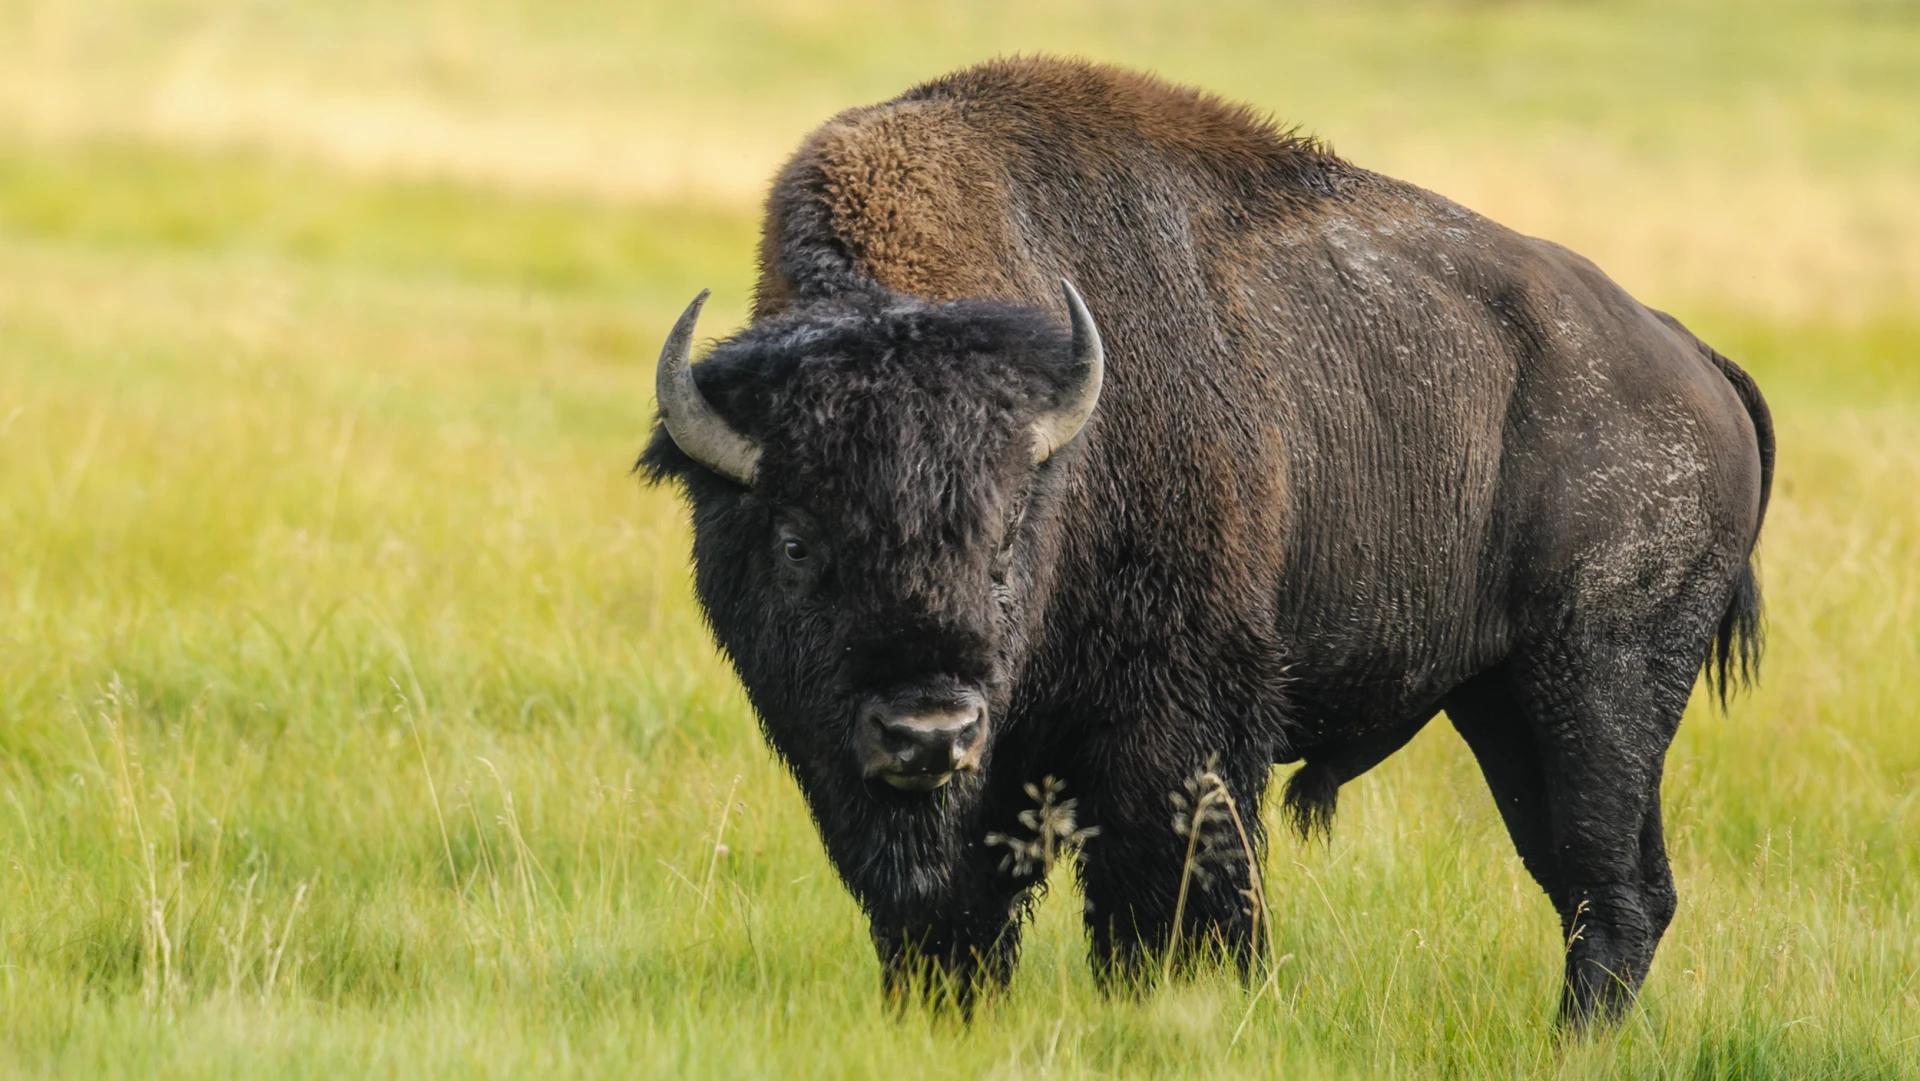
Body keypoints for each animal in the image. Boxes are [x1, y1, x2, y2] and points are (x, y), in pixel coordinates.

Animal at [641, 57, 1766, 1021]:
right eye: (795, 543)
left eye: (1006, 543)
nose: (928, 731)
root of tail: (1692, 356)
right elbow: (954, 904)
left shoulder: (1180, 720)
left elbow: (1173, 891)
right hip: (1503, 709)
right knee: (1593, 884)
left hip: (1599, 689)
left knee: (1613, 889)